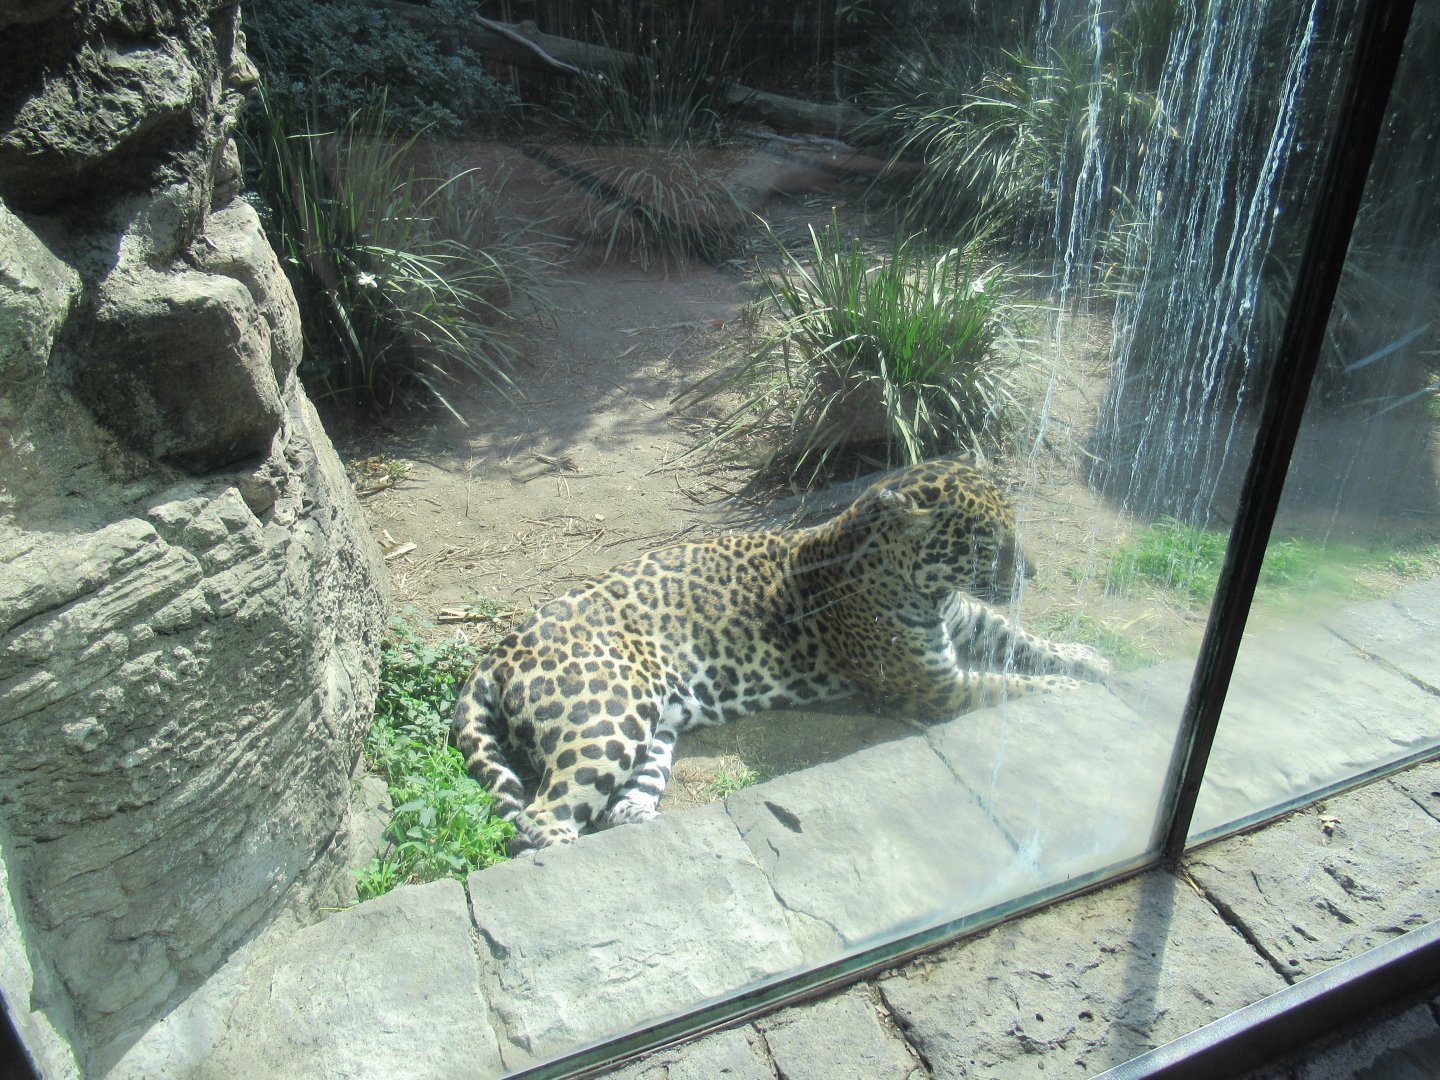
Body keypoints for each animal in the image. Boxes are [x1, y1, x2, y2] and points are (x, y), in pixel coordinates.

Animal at [452, 455, 1110, 855]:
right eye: (983, 544)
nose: (1031, 574)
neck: (921, 584)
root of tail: (500, 648)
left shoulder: (968, 624)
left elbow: (1028, 646)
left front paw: (1093, 660)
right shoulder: (934, 685)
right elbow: (1011, 686)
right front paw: (1080, 692)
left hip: (654, 723)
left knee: (619, 796)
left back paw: (644, 823)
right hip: (605, 717)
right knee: (541, 818)